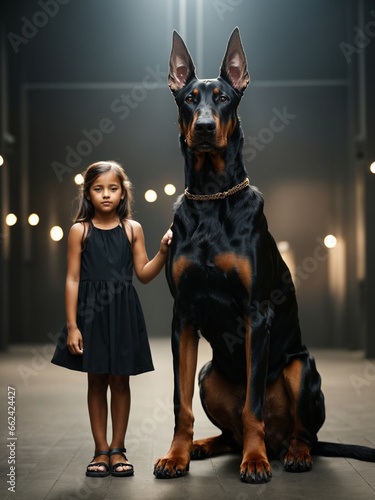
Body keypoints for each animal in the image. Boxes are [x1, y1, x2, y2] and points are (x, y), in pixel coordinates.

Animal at [153, 27, 375, 484]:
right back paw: (204, 446)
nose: (204, 128)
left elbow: (252, 403)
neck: (212, 197)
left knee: (300, 432)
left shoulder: (257, 313)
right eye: (189, 98)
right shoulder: (183, 317)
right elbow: (180, 403)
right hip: (209, 374)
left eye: (222, 97)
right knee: (230, 432)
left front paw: (253, 463)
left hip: (301, 368)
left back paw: (288, 455)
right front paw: (176, 456)